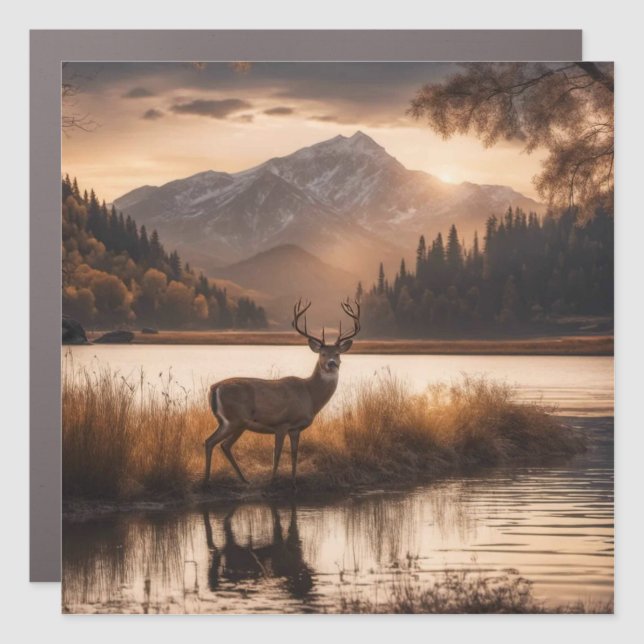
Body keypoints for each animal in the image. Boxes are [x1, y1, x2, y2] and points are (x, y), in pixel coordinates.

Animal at [204, 299, 360, 487]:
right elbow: (276, 454)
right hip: (235, 419)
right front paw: (272, 481)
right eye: (322, 354)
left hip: (232, 422)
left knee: (219, 444)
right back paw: (209, 480)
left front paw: (293, 482)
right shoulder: (282, 423)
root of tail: (214, 387)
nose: (331, 363)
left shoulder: (295, 428)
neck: (310, 396)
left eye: (337, 354)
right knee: (213, 442)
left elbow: (294, 454)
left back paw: (239, 479)